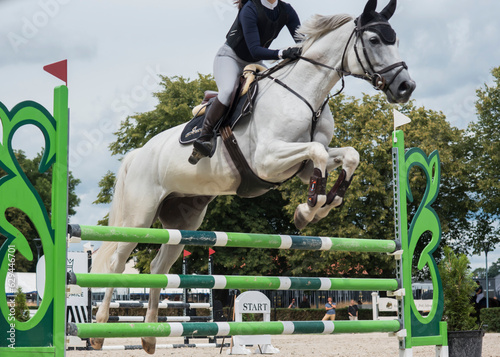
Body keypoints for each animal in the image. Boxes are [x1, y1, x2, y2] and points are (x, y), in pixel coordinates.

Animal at [90, 0, 414, 350]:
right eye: (374, 40)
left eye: (396, 39)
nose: (405, 87)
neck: (306, 93)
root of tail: (138, 153)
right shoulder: (267, 160)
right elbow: (317, 151)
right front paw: (310, 208)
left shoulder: (300, 167)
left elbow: (345, 155)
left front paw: (321, 204)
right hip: (140, 214)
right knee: (117, 262)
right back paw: (99, 330)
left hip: (183, 221)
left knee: (158, 266)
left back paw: (150, 337)